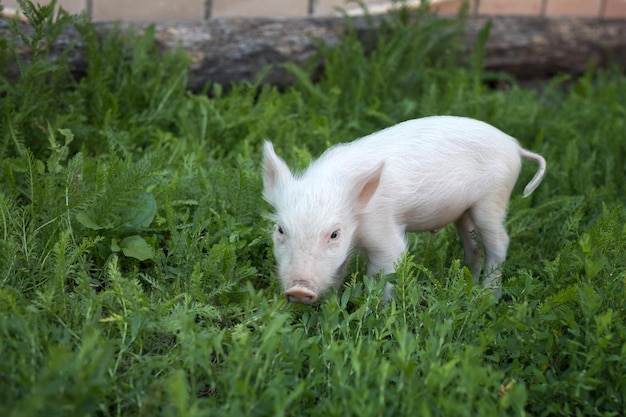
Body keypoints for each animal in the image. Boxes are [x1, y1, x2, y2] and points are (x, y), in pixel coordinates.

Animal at [260, 115, 544, 304]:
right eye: (280, 230)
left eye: (334, 234)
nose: (298, 290)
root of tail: (514, 145)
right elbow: (339, 270)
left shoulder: (383, 228)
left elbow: (384, 269)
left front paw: (380, 307)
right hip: (464, 212)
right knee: (472, 245)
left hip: (493, 198)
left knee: (500, 243)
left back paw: (488, 296)